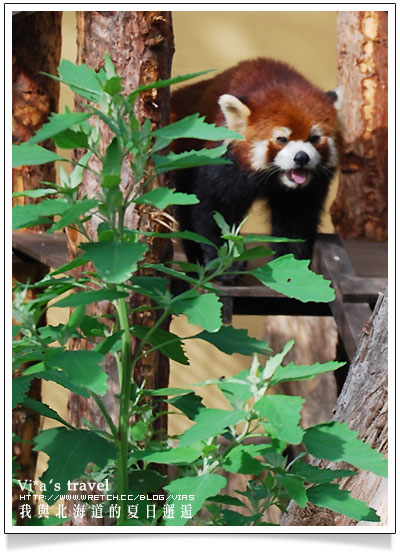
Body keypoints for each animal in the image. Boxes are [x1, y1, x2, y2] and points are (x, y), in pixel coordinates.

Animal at [170, 56, 342, 278]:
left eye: (314, 138)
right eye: (282, 139)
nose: (301, 158)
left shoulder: (304, 191)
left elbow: (295, 221)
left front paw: (293, 262)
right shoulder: (222, 163)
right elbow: (214, 210)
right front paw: (226, 265)